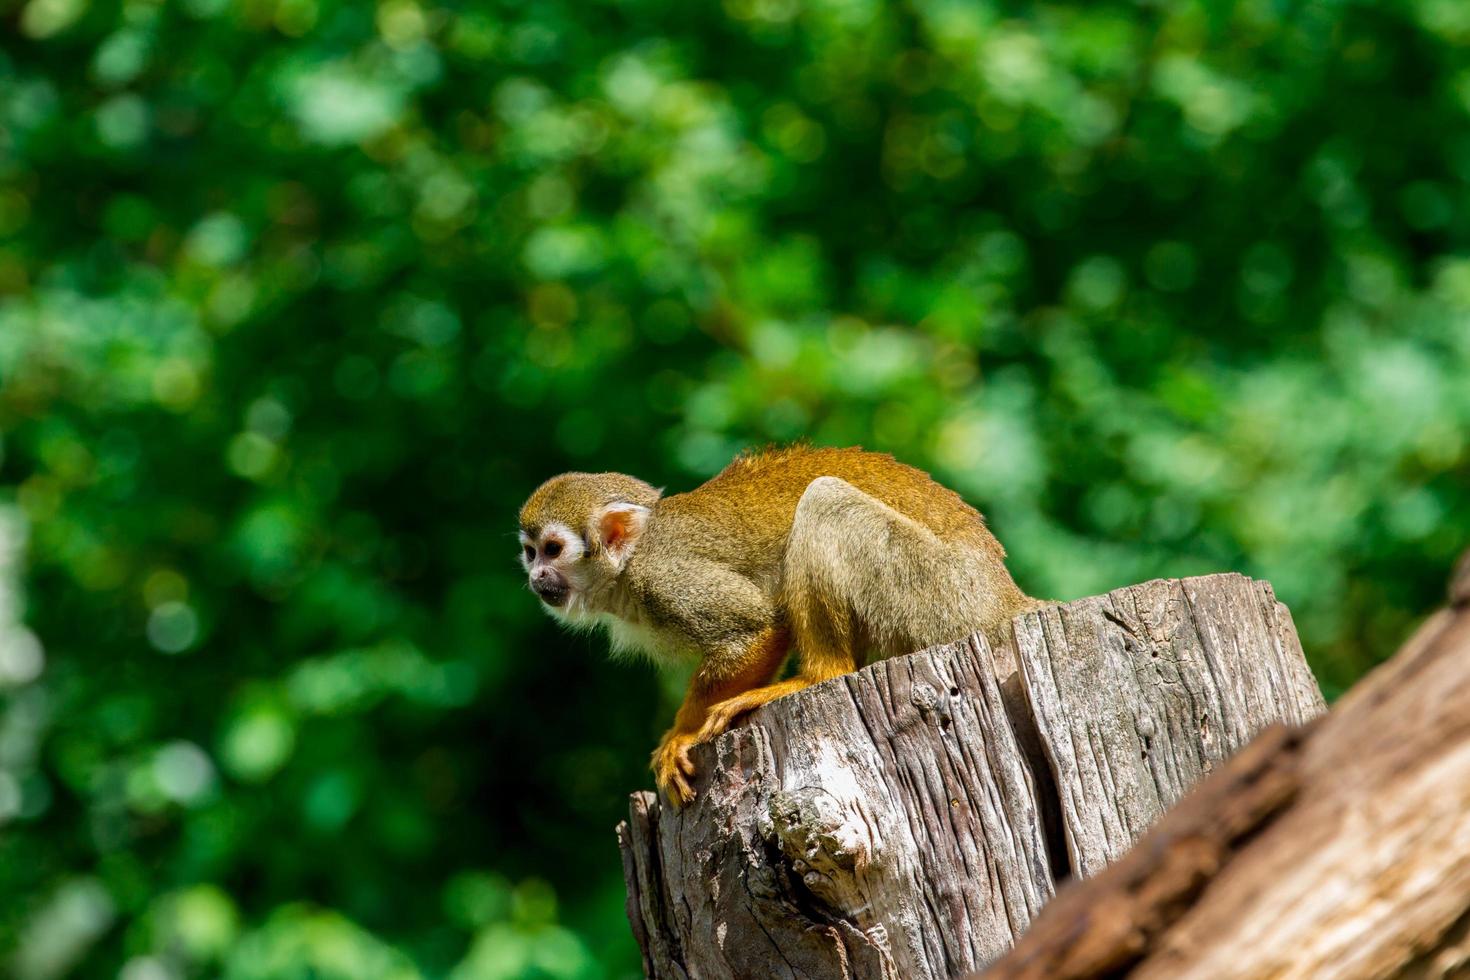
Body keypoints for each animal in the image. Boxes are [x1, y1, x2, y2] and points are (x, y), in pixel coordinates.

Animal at [517, 449, 1034, 811]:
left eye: (553, 549)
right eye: (530, 552)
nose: (535, 577)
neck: (629, 563)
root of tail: (1003, 597)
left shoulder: (665, 579)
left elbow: (758, 627)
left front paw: (680, 736)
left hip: (937, 591)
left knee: (825, 500)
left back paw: (818, 675)